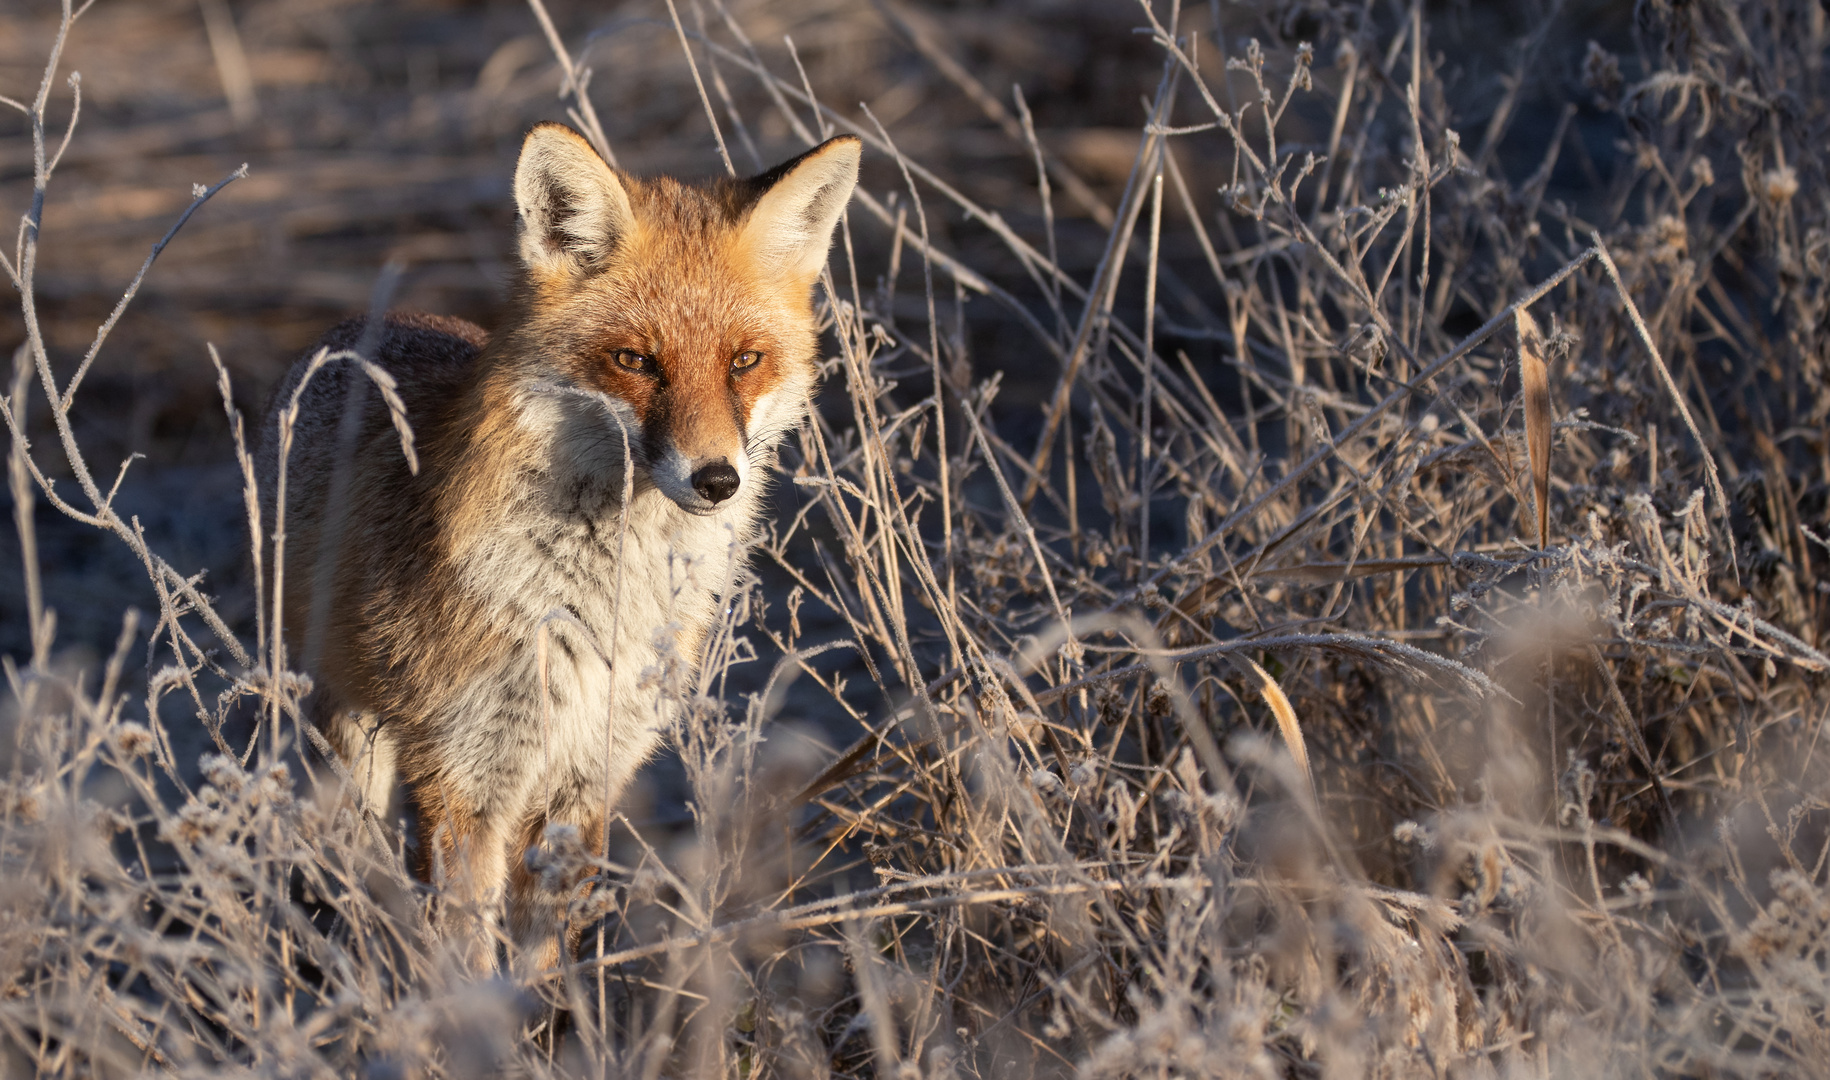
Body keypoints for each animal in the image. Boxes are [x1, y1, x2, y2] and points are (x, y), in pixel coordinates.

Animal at [258, 122, 863, 966]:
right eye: (635, 361)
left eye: (744, 361)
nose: (717, 479)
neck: (601, 610)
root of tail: (360, 327)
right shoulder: (464, 776)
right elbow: (470, 966)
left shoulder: (591, 772)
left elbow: (539, 966)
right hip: (353, 743)